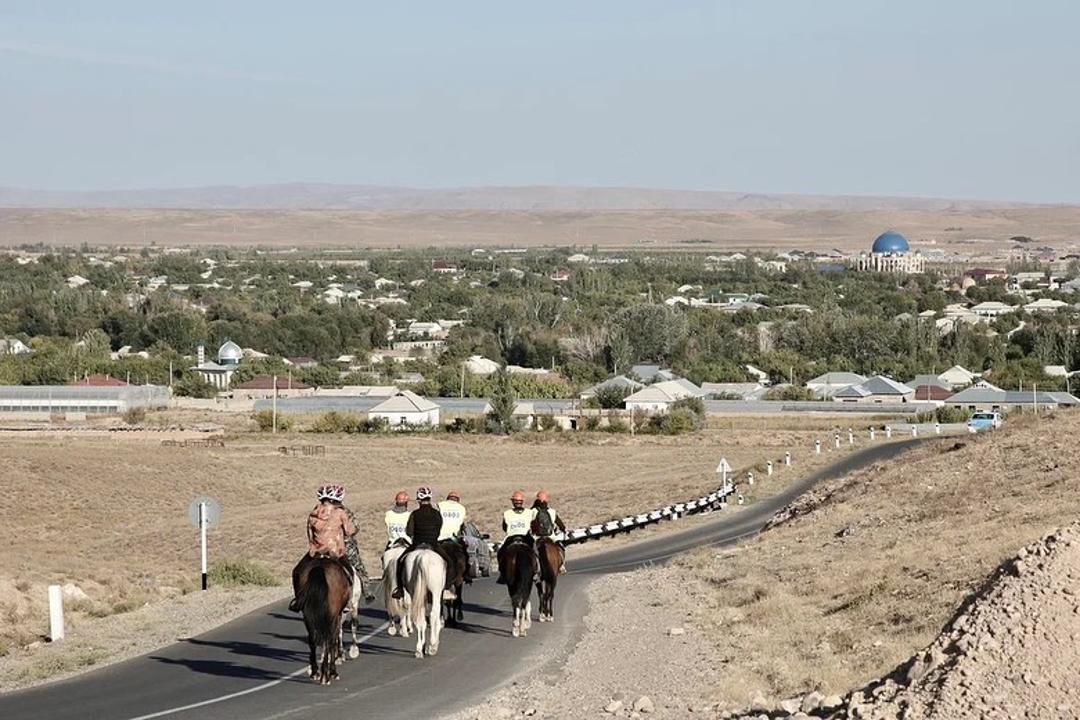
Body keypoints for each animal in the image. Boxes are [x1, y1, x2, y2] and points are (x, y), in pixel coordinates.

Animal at [295, 557, 349, 686]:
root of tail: (319, 568)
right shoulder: (337, 616)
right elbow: (333, 641)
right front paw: (333, 672)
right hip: (331, 617)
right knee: (328, 640)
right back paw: (326, 675)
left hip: (307, 616)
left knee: (312, 640)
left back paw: (315, 672)